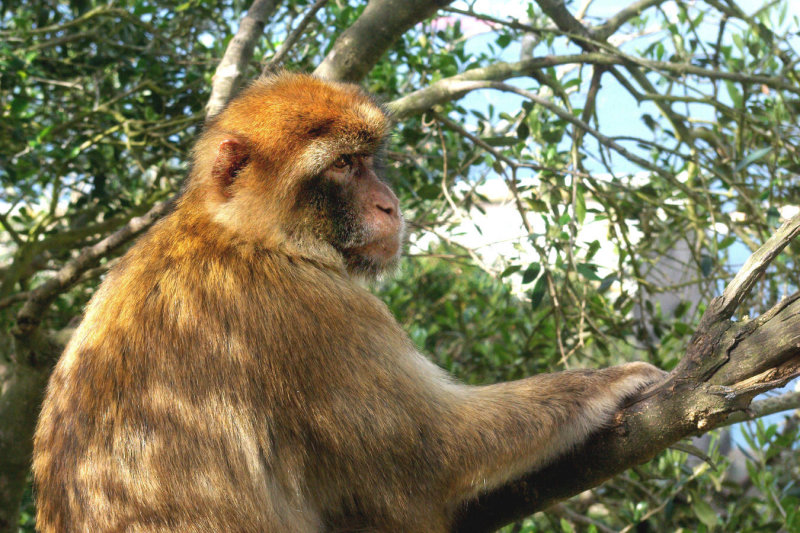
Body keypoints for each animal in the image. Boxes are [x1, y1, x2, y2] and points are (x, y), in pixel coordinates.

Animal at [32, 71, 664, 532]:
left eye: (367, 161)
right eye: (341, 165)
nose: (388, 203)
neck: (245, 233)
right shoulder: (316, 314)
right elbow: (437, 454)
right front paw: (610, 381)